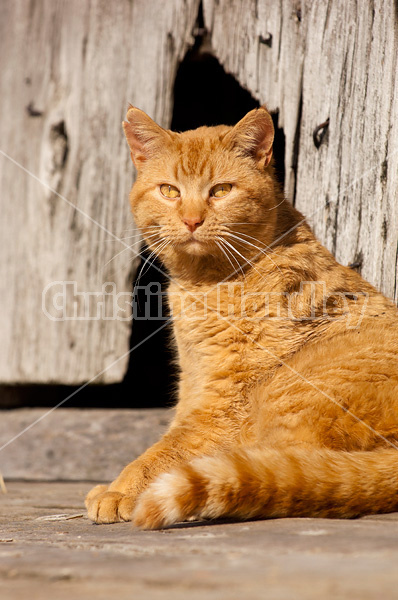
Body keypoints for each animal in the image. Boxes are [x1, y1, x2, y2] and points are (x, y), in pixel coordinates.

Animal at [85, 105, 398, 528]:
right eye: (170, 191)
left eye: (220, 191)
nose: (192, 220)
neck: (204, 281)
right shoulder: (195, 385)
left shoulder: (222, 405)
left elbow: (165, 450)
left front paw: (121, 489)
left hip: (290, 391)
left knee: (295, 467)